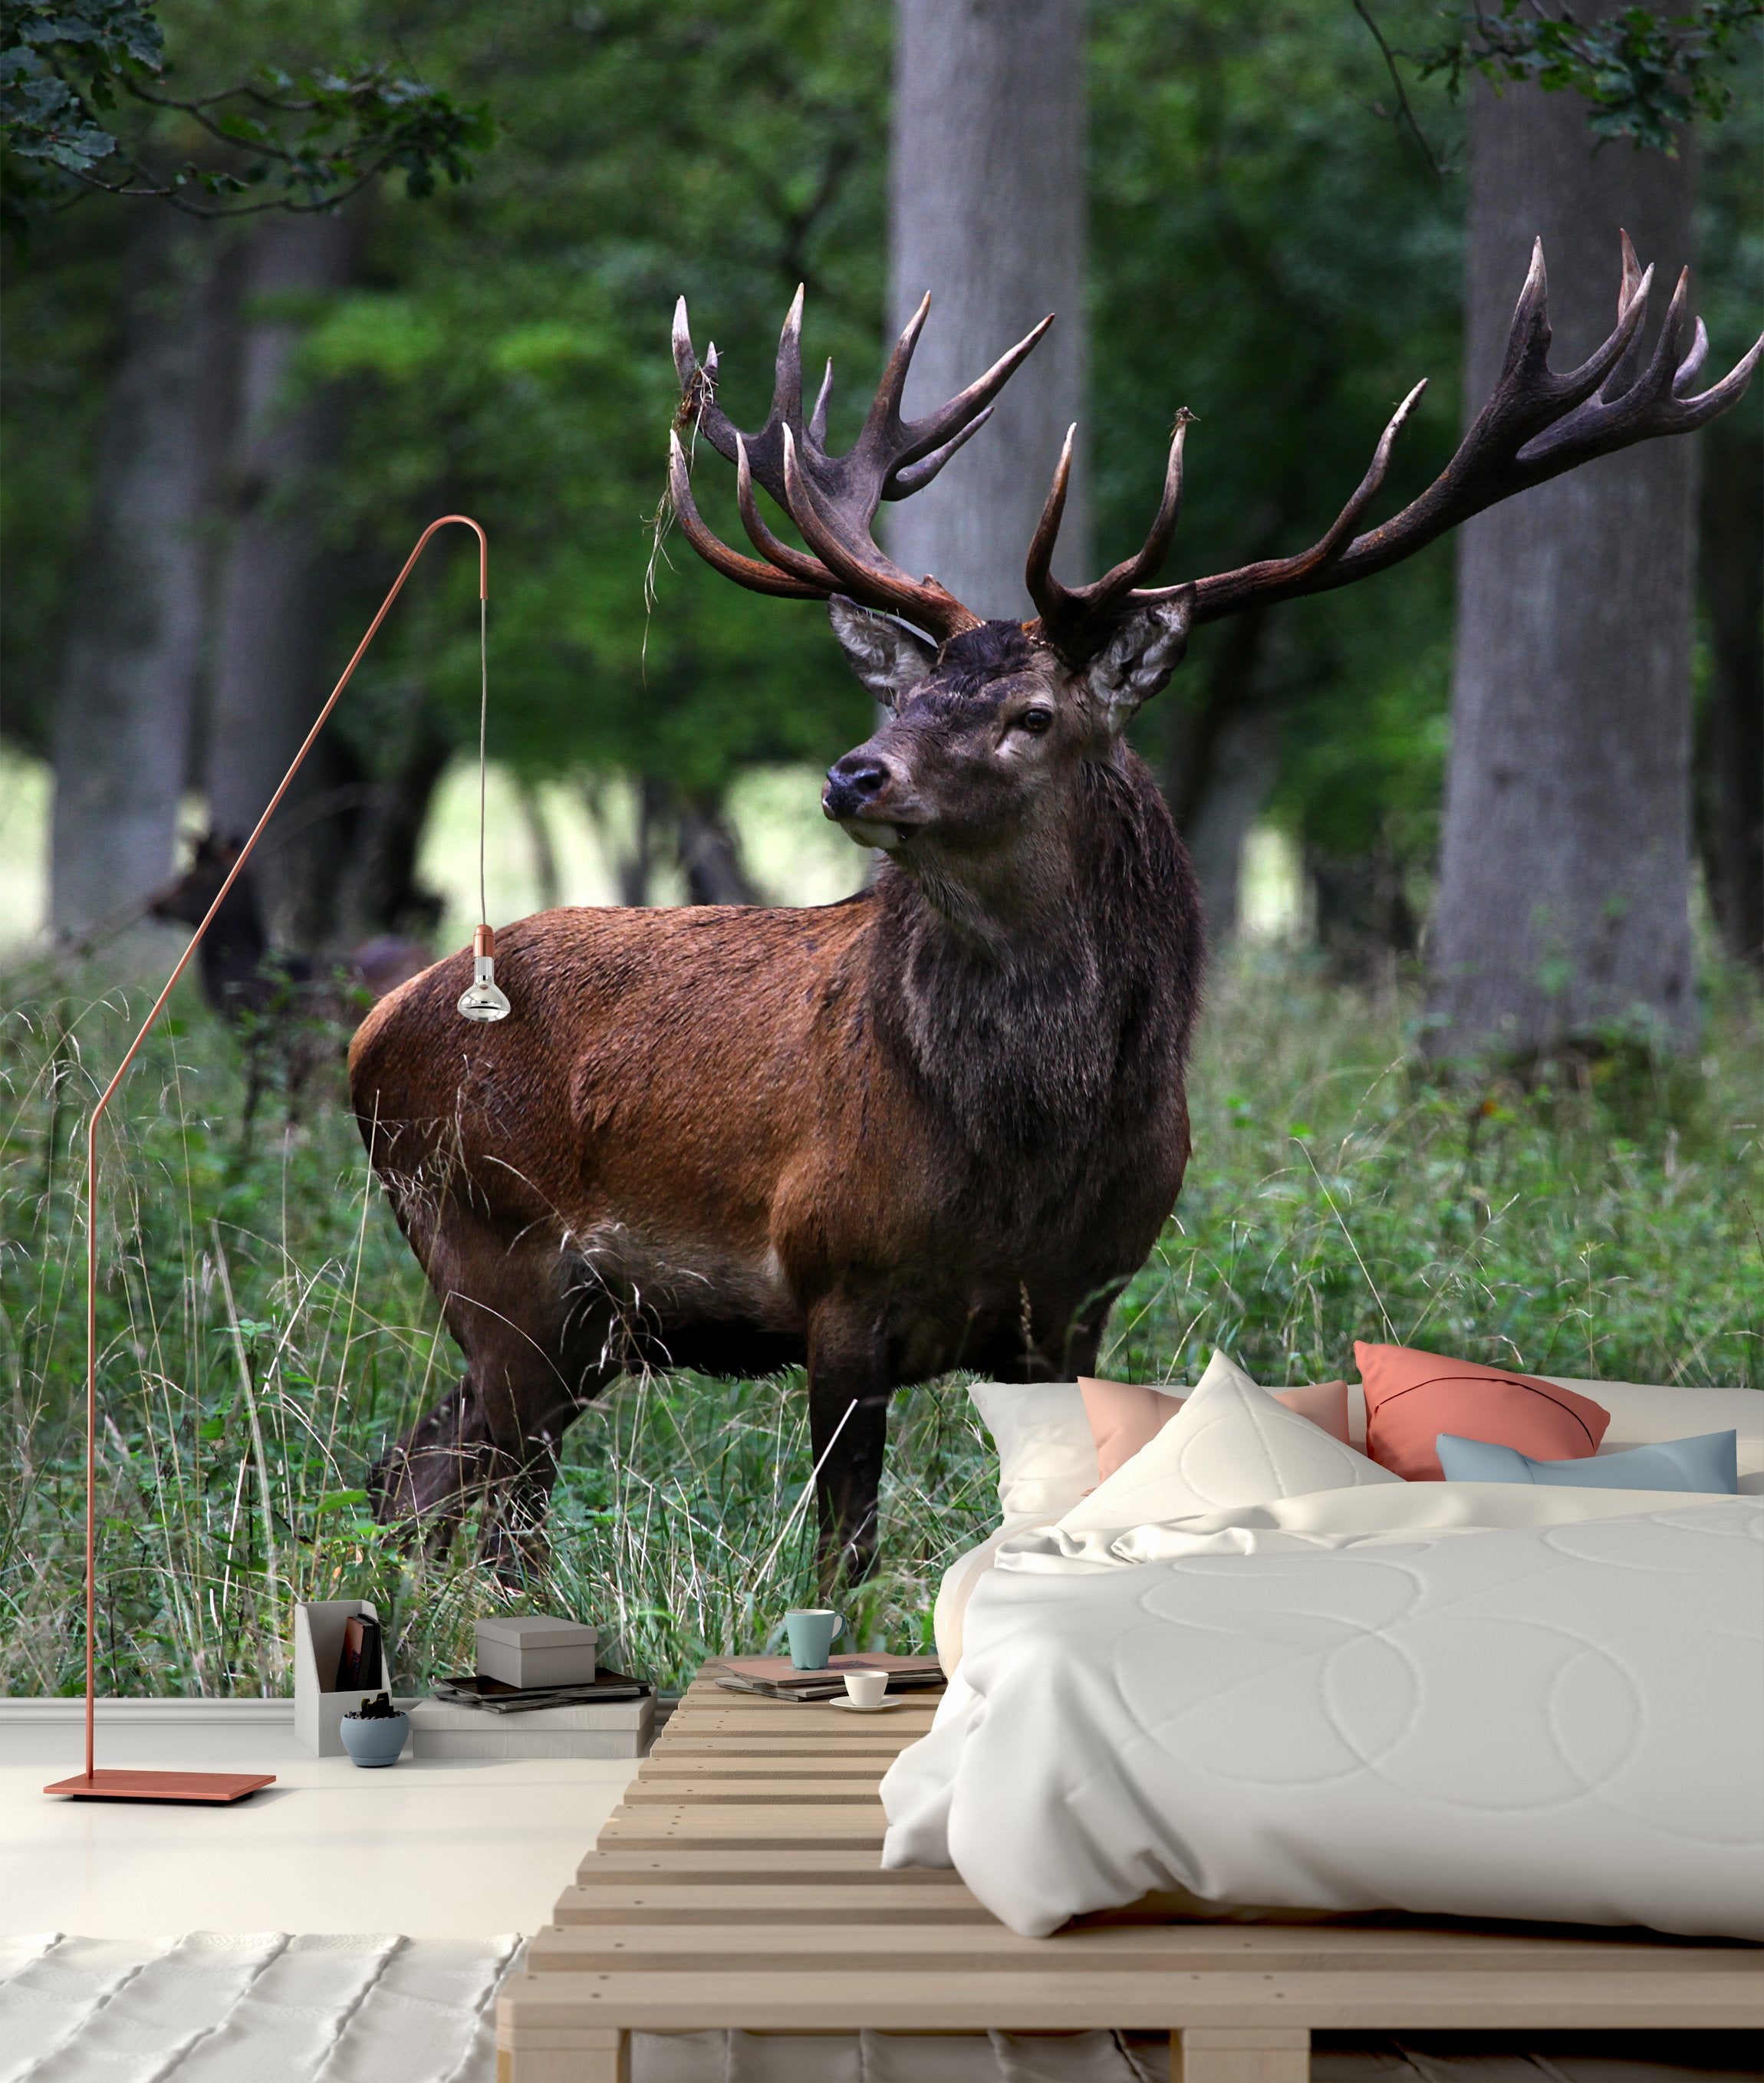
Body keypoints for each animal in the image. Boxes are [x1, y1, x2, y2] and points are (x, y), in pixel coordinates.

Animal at [348, 234, 1758, 1580]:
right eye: (910, 697)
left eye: (1030, 716)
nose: (851, 773)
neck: (1022, 1161)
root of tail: (374, 1025)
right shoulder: (835, 1285)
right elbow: (843, 1551)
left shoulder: (1079, 1303)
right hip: (492, 1249)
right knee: (480, 1498)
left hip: (581, 1325)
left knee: (420, 1473)